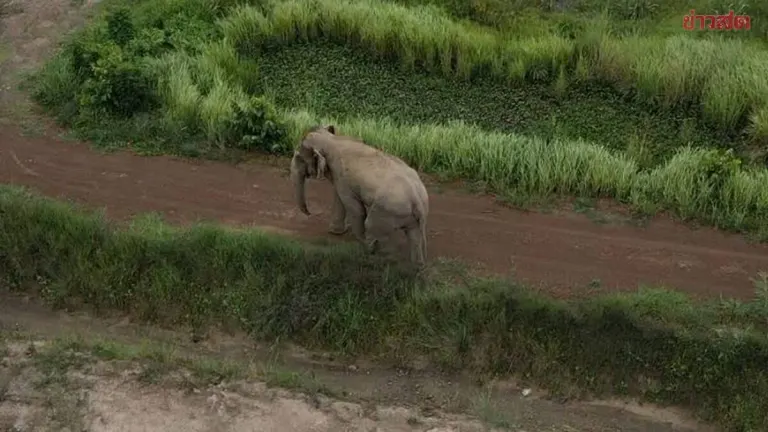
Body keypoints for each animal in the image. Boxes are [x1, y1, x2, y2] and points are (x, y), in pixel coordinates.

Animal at [290, 125, 429, 266]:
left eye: (299, 158)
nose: (309, 213)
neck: (331, 139)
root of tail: (418, 201)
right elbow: (340, 199)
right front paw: (336, 232)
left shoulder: (341, 175)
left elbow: (354, 206)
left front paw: (354, 236)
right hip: (408, 216)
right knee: (415, 237)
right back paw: (417, 265)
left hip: (387, 211)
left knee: (371, 225)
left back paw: (367, 248)